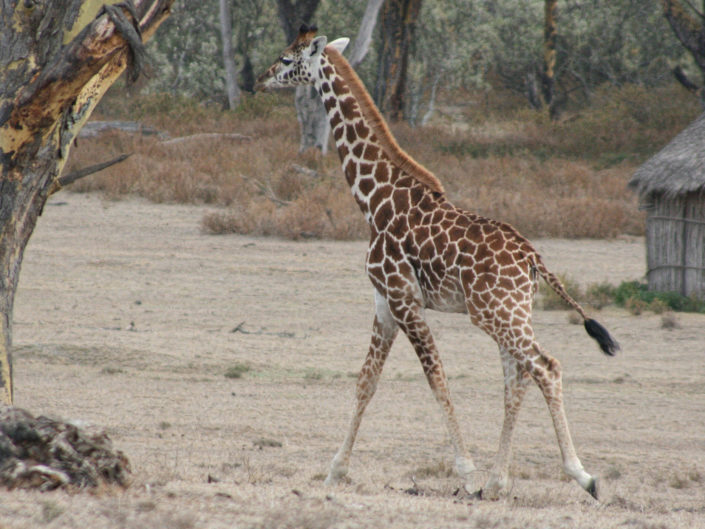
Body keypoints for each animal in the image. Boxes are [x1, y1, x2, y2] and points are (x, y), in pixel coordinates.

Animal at [255, 25, 620, 500]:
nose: (259, 79)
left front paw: (466, 473)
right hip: (513, 313)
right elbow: (366, 381)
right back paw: (499, 481)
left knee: (546, 367)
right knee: (517, 378)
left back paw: (581, 475)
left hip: (493, 314)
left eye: (286, 59)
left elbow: (436, 378)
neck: (374, 201)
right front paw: (335, 471)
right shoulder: (384, 303)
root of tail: (533, 259)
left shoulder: (404, 300)